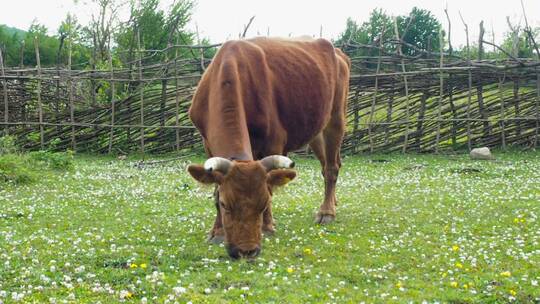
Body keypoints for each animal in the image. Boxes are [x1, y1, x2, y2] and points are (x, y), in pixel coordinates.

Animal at [188, 36, 352, 258]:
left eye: (263, 203)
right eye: (224, 204)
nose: (246, 250)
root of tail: (338, 52)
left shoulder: (274, 141)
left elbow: (270, 186)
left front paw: (267, 226)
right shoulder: (207, 142)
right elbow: (215, 186)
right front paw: (217, 231)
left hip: (336, 119)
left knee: (331, 168)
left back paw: (326, 212)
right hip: (316, 129)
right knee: (328, 163)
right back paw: (333, 202)